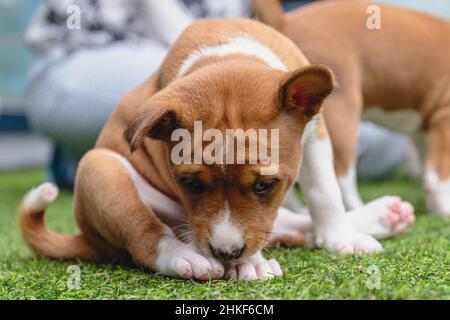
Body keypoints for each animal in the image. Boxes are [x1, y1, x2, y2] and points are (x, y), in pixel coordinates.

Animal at [18, 18, 412, 282]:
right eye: (191, 184)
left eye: (264, 185)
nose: (226, 252)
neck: (228, 54)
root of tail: (87, 238)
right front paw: (245, 261)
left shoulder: (315, 134)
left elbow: (324, 193)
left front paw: (340, 239)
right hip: (100, 168)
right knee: (146, 237)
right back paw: (195, 259)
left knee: (293, 227)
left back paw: (381, 217)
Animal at [253, 0, 450, 218]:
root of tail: (284, 21)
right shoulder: (444, 119)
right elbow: (438, 178)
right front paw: (444, 210)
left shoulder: (422, 131)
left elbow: (427, 170)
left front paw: (434, 208)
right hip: (343, 117)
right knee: (342, 177)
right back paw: (361, 209)